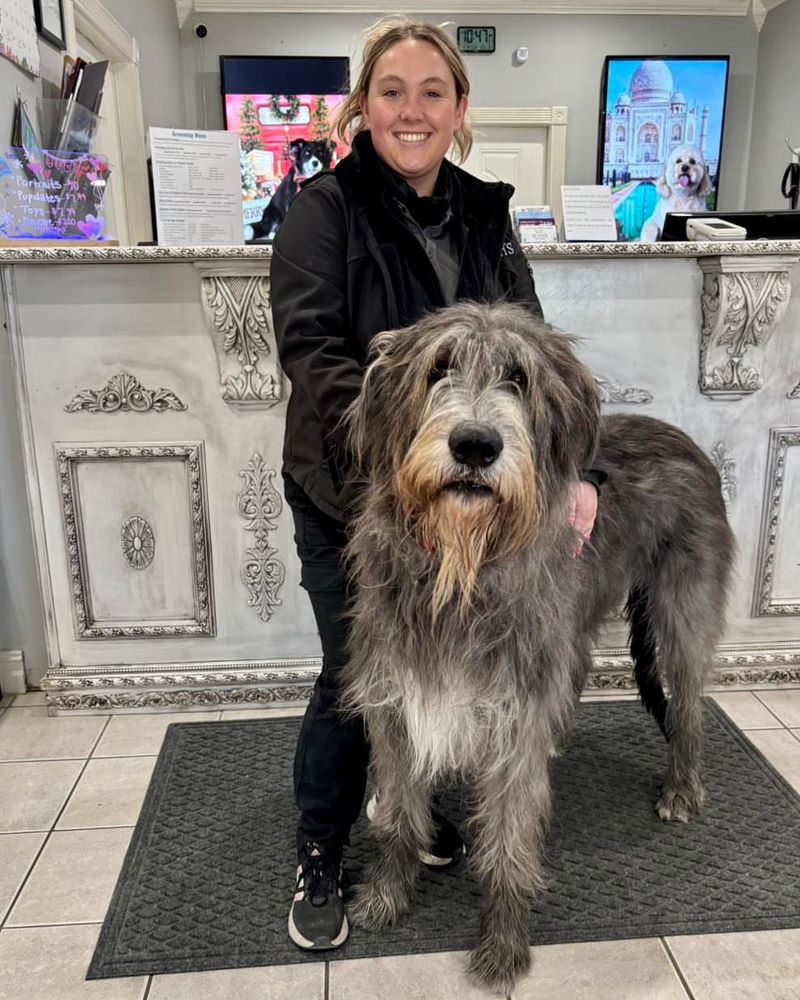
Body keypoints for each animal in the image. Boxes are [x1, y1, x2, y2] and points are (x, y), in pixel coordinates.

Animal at [340, 300, 736, 996]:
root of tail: (688, 440)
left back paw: (683, 789)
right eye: (439, 367)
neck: (462, 570)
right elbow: (398, 814)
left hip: (682, 609)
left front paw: (503, 944)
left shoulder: (514, 716)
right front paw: (384, 896)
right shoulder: (399, 700)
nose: (475, 445)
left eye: (519, 378)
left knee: (689, 704)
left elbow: (507, 838)